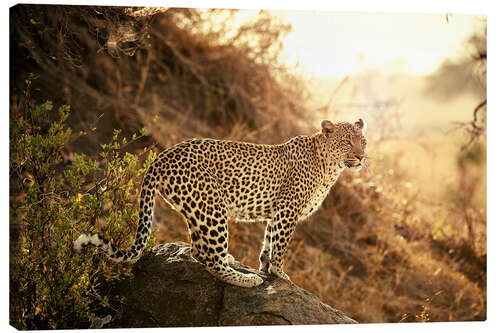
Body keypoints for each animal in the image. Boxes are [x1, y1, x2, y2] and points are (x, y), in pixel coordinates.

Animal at [75, 118, 372, 286]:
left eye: (364, 141)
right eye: (348, 142)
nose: (360, 157)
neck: (330, 167)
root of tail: (159, 158)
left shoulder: (276, 212)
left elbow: (268, 241)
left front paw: (266, 268)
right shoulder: (288, 210)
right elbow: (281, 245)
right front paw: (279, 274)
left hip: (197, 210)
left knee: (199, 251)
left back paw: (234, 263)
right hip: (212, 207)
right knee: (211, 261)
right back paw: (245, 279)